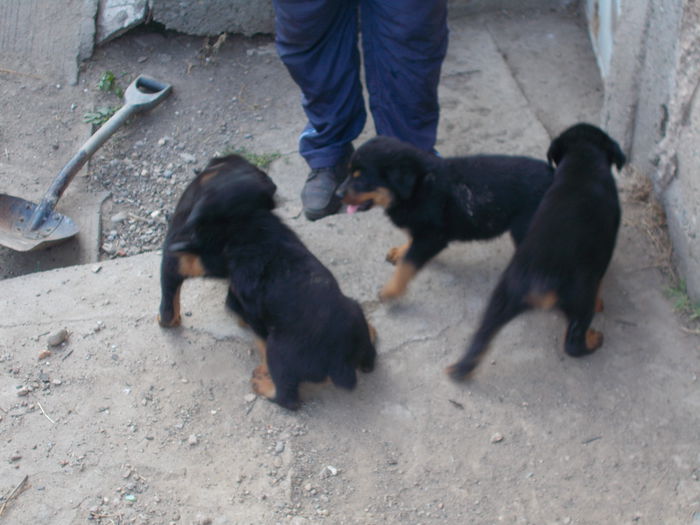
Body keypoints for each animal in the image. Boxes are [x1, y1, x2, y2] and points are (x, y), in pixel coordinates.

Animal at [167, 168, 378, 410]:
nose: (176, 244)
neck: (245, 226)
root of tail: (341, 364)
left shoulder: (247, 302)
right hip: (355, 312)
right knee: (370, 358)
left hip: (279, 351)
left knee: (288, 398)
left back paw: (264, 386)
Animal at [448, 123, 624, 378]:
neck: (584, 159)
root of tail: (539, 278)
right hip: (581, 299)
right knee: (573, 343)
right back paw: (594, 340)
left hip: (502, 294)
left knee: (481, 336)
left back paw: (460, 368)